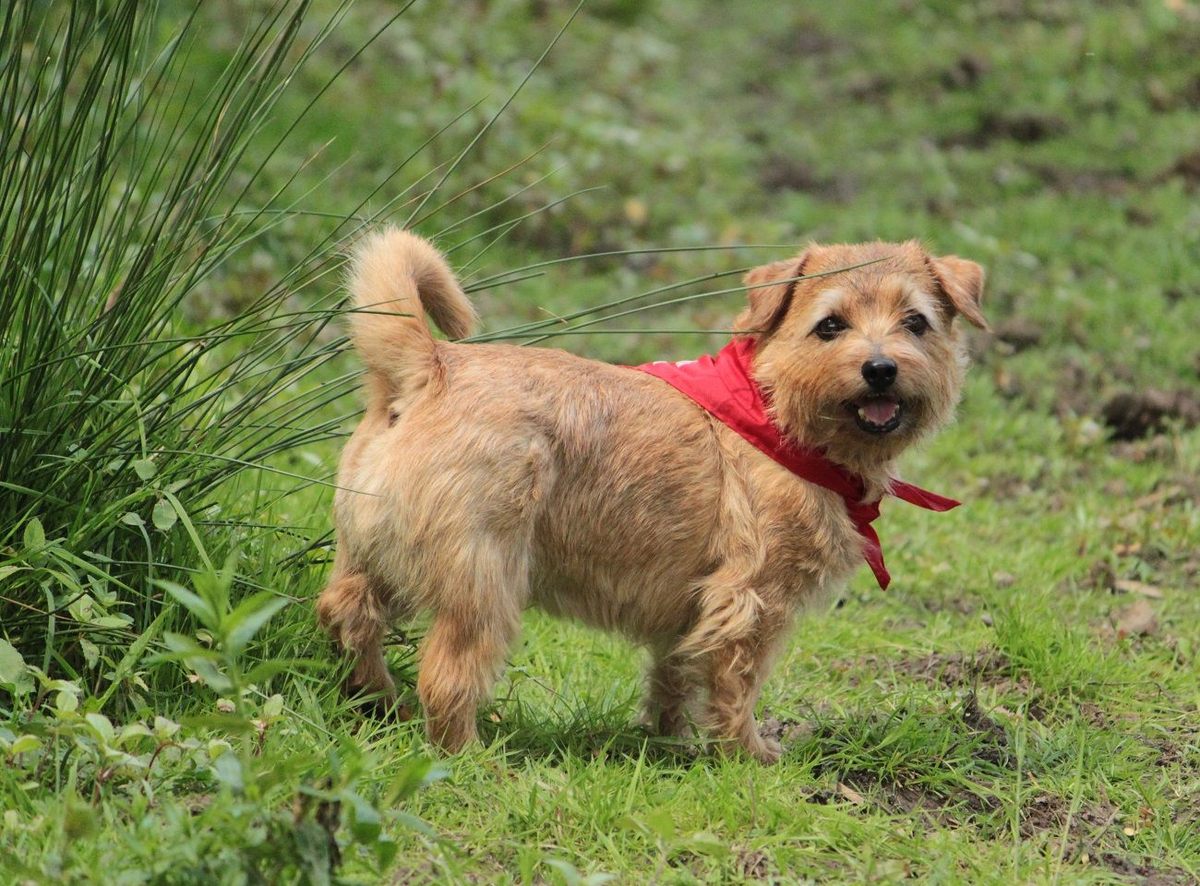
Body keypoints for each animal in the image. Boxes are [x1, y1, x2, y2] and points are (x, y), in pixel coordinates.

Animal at [316, 228, 984, 758]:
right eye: (831, 326)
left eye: (915, 322)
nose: (880, 368)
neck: (777, 413)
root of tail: (431, 364)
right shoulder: (751, 601)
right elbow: (736, 687)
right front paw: (747, 757)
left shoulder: (689, 609)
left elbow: (674, 678)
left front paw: (670, 745)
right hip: (483, 582)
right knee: (448, 676)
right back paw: (471, 754)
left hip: (368, 555)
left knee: (346, 615)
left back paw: (377, 701)